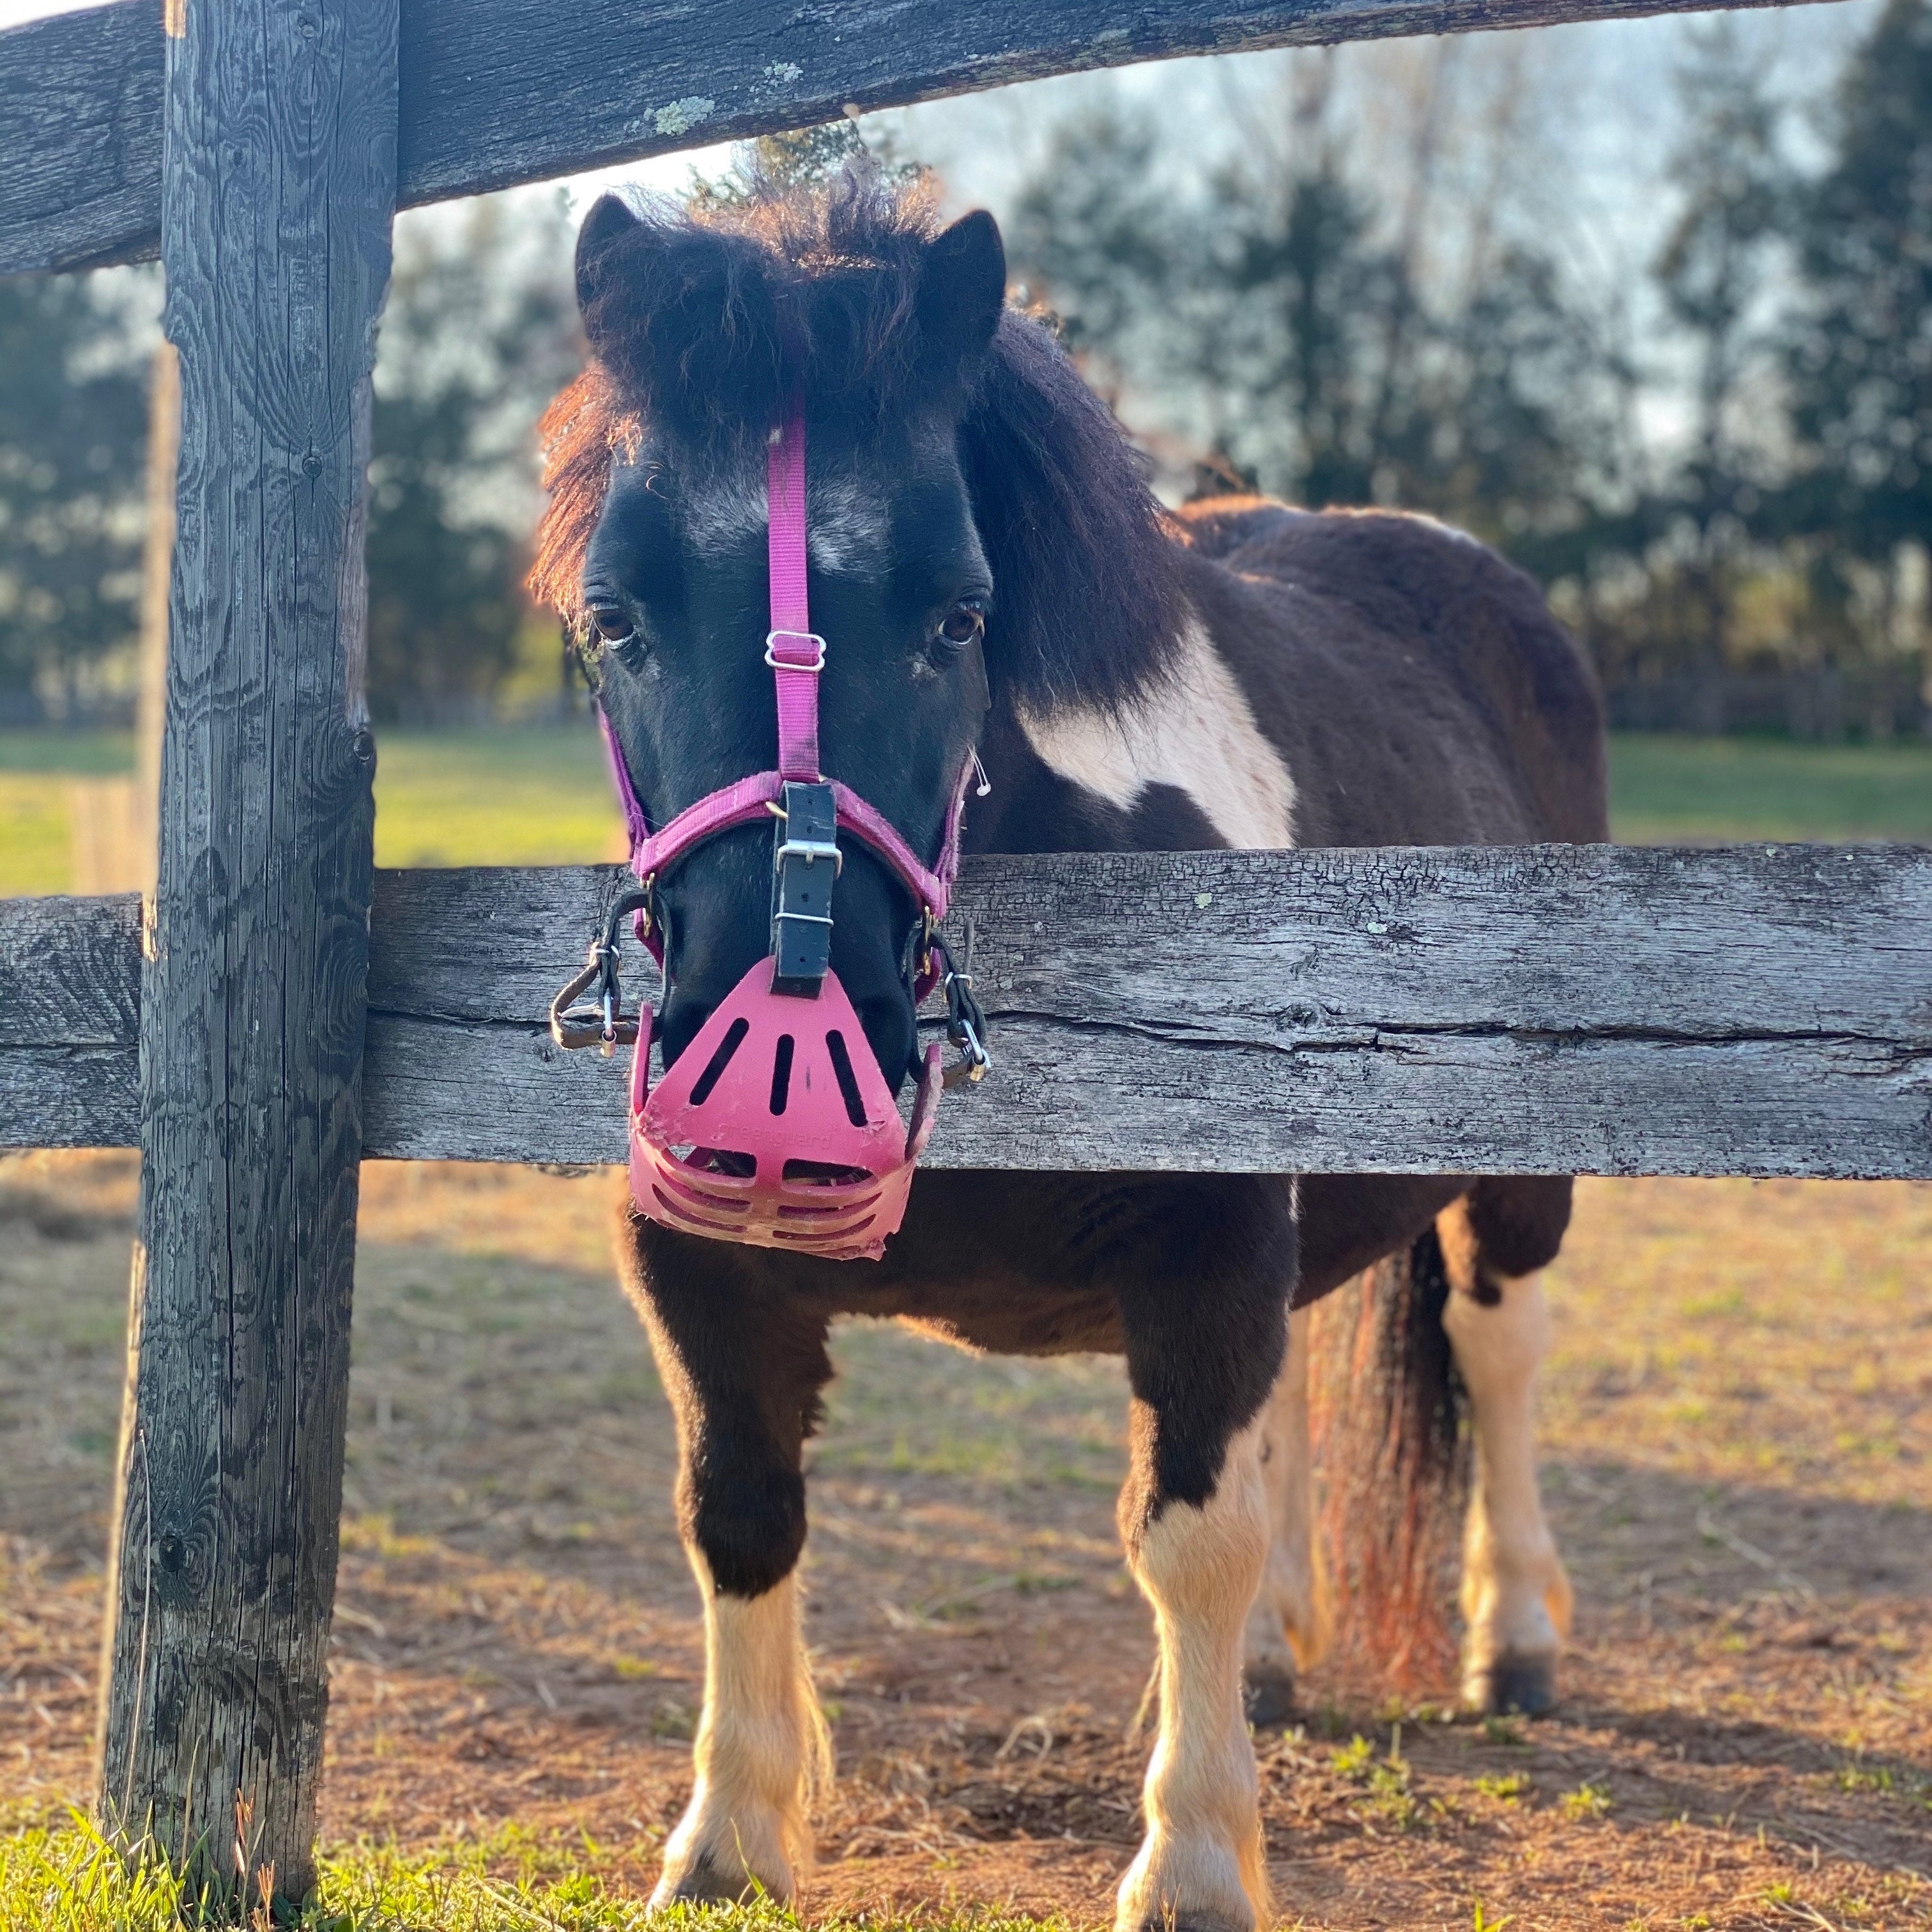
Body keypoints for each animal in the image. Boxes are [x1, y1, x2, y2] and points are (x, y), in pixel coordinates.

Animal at [533, 174, 1599, 1924]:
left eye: (959, 614)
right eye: (612, 617)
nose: (774, 1072)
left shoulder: (1210, 1248)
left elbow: (1187, 1540)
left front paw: (1195, 1858)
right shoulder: (699, 1269)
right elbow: (737, 1513)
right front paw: (731, 1836)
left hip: (1520, 1177)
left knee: (1499, 1351)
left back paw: (1511, 1640)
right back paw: (1286, 1659)